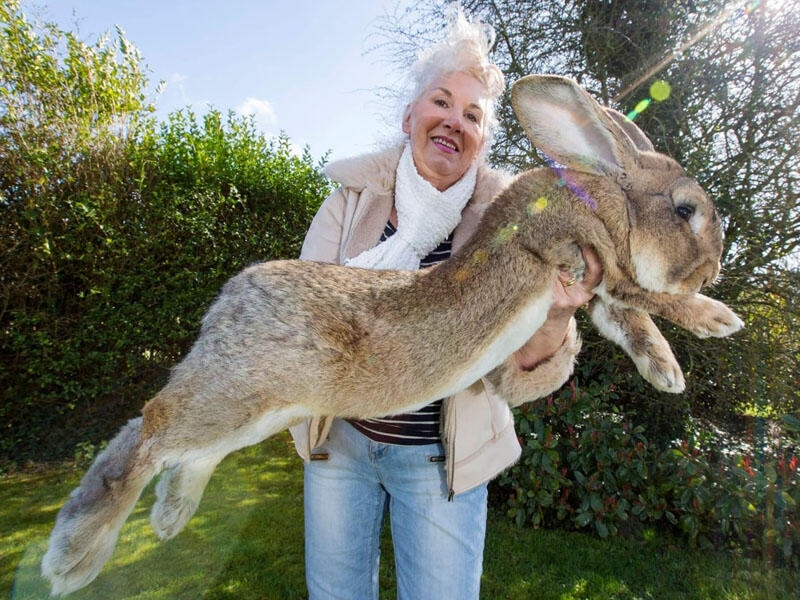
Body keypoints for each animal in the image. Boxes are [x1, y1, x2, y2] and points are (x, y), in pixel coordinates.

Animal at [42, 76, 744, 596]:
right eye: (685, 210)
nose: (714, 266)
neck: (602, 196)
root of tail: (227, 305)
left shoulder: (595, 289)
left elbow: (629, 321)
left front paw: (666, 371)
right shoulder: (585, 258)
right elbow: (647, 297)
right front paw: (717, 318)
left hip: (258, 410)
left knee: (166, 440)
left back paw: (162, 517)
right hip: (239, 393)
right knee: (154, 425)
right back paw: (76, 556)